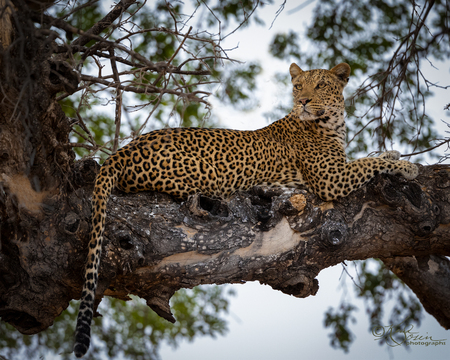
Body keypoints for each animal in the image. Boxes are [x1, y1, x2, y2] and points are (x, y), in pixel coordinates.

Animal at [74, 62, 418, 358]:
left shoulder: (337, 171)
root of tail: (122, 151)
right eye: (297, 86)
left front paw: (393, 152)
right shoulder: (331, 178)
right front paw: (407, 166)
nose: (304, 101)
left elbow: (369, 158)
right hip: (208, 173)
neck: (332, 124)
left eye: (320, 85)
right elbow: (367, 163)